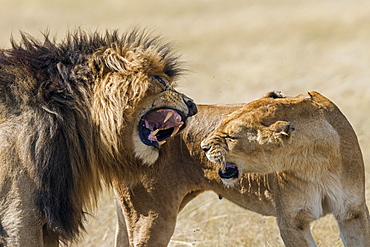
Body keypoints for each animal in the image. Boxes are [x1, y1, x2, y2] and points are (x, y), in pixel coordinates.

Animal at [202, 91, 370, 246]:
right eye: (221, 124)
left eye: (231, 137)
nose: (203, 147)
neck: (316, 162)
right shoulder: (291, 221)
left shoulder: (353, 212)